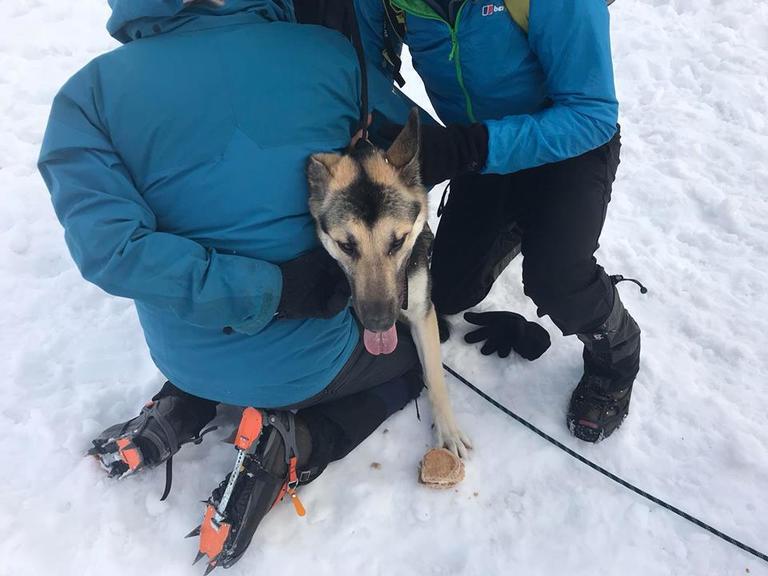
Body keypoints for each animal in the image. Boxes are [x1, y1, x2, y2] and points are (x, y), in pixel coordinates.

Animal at [308, 109, 472, 460]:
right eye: (347, 246)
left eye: (397, 241)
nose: (380, 323)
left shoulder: (422, 313)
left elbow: (436, 376)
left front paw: (448, 430)